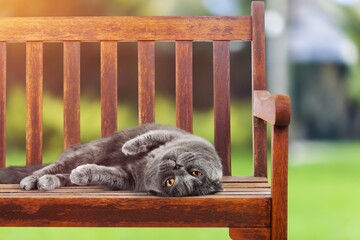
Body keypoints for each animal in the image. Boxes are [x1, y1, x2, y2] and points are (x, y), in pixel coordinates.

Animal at [0, 124, 224, 197]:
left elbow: (104, 173)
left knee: (64, 174)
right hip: (90, 152)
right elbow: (149, 137)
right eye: (197, 172)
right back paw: (31, 180)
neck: (150, 162)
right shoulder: (172, 135)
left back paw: (47, 182)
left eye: (170, 182)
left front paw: (84, 173)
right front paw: (129, 147)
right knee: (52, 167)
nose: (177, 167)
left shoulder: (127, 178)